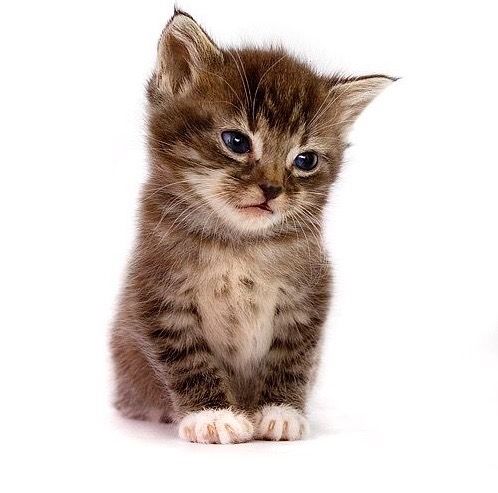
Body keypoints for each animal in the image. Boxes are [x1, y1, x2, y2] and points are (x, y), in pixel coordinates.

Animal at [111, 10, 394, 442]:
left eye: (305, 160)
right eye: (236, 141)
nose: (272, 189)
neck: (239, 242)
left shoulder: (308, 296)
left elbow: (291, 357)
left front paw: (280, 411)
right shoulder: (157, 293)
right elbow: (187, 358)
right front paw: (211, 416)